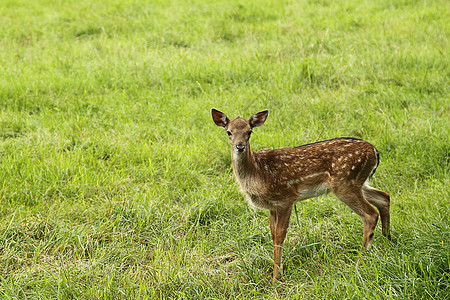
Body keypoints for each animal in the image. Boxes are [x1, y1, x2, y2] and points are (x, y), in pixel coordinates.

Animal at [211, 109, 390, 282]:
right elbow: (272, 234)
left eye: (249, 131)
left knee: (370, 214)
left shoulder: (286, 198)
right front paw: (277, 272)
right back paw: (388, 241)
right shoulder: (272, 205)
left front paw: (276, 278)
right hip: (358, 182)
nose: (240, 146)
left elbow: (280, 235)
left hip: (345, 182)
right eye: (228, 132)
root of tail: (375, 152)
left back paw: (359, 263)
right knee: (384, 197)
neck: (259, 173)